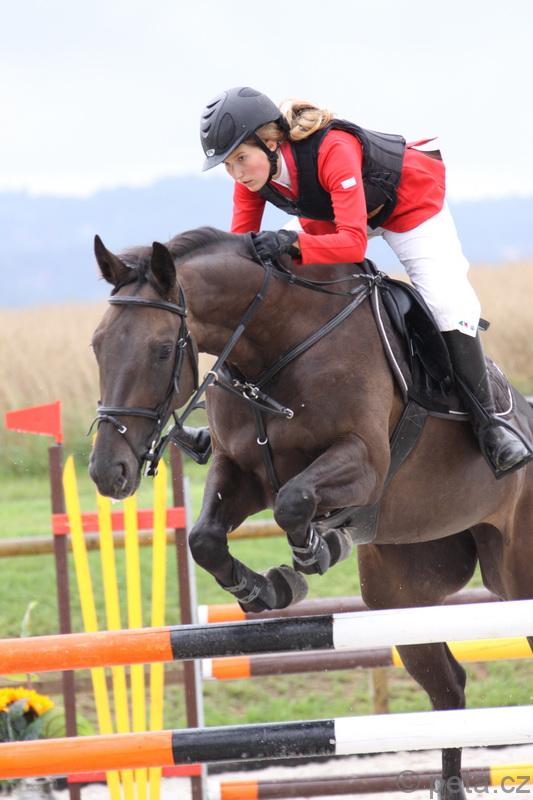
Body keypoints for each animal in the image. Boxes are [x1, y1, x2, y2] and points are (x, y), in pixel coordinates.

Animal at [89, 228, 533, 800]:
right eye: (98, 345)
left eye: (162, 349)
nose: (108, 472)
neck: (273, 349)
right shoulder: (241, 470)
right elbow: (205, 537)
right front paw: (266, 588)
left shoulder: (364, 462)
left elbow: (294, 502)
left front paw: (316, 550)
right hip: (402, 590)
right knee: (448, 689)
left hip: (517, 576)